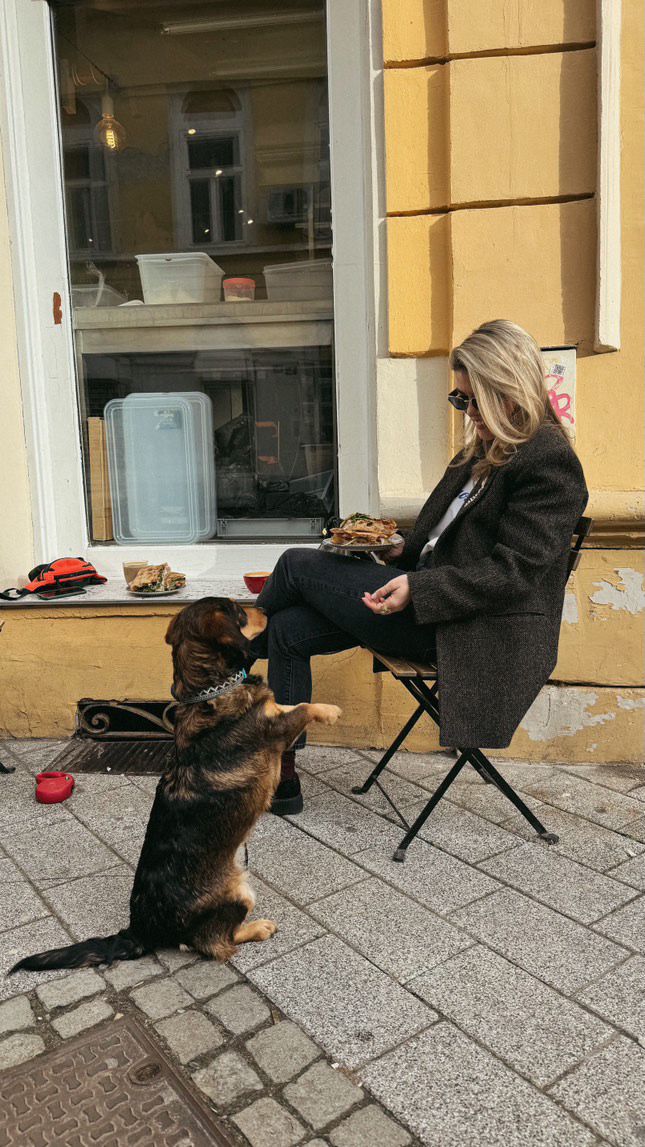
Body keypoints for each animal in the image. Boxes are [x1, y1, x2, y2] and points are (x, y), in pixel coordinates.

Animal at [11, 596, 342, 972]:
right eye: (239, 612)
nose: (265, 609)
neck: (209, 691)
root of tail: (141, 929)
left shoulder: (272, 714)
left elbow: (285, 703)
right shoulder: (276, 732)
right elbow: (302, 708)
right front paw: (328, 710)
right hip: (240, 893)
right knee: (217, 943)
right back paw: (258, 927)